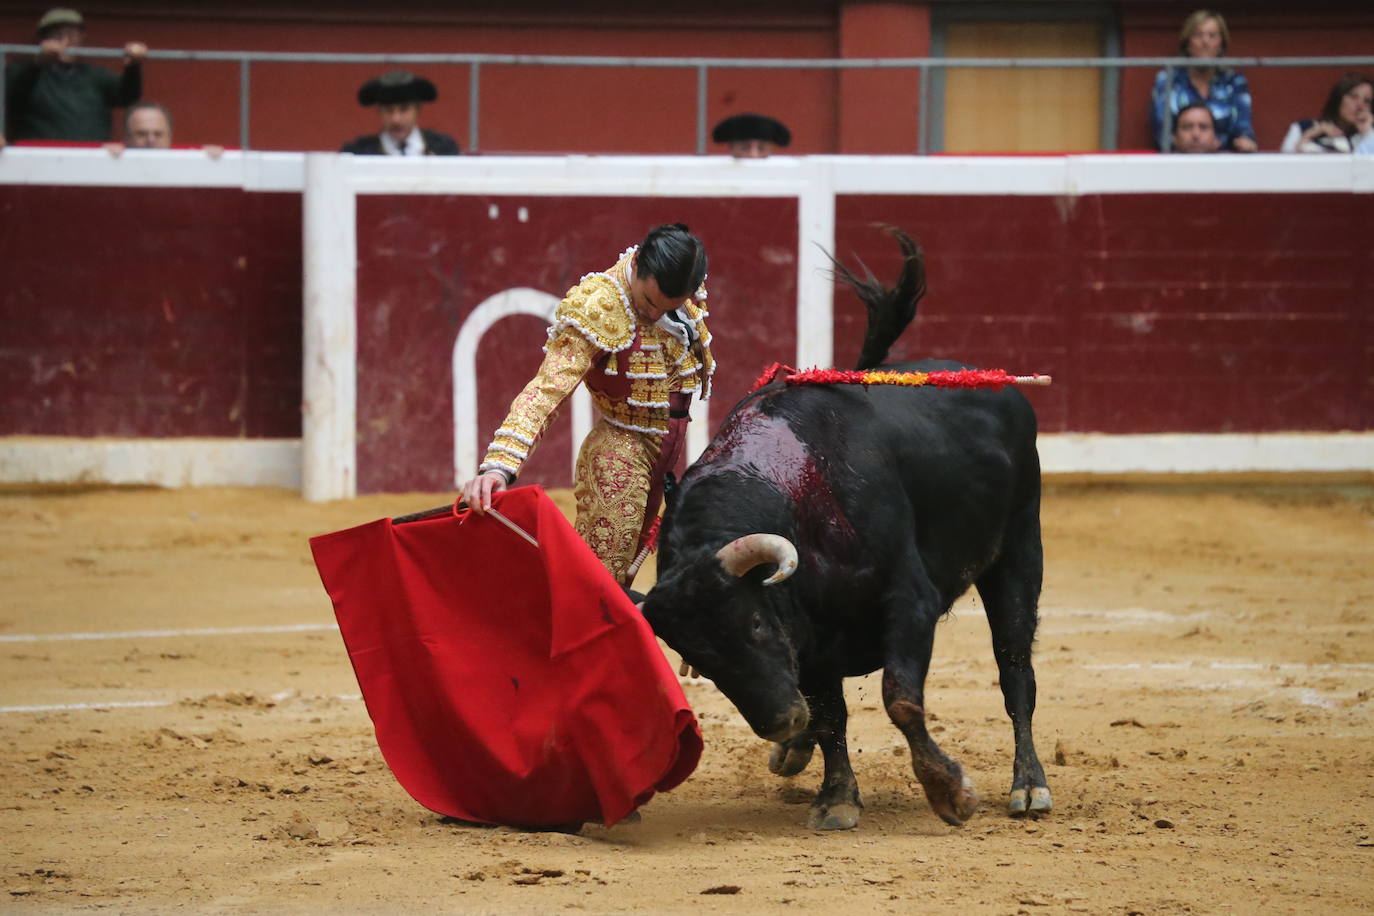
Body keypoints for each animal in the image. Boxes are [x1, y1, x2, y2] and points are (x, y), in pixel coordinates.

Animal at [640, 229, 1049, 829]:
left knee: (1016, 669)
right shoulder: (809, 637)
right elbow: (831, 715)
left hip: (1018, 551)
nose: (780, 721)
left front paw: (950, 791)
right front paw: (835, 798)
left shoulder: (909, 600)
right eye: (702, 661)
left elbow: (899, 697)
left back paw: (1029, 786)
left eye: (754, 625)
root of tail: (997, 385)